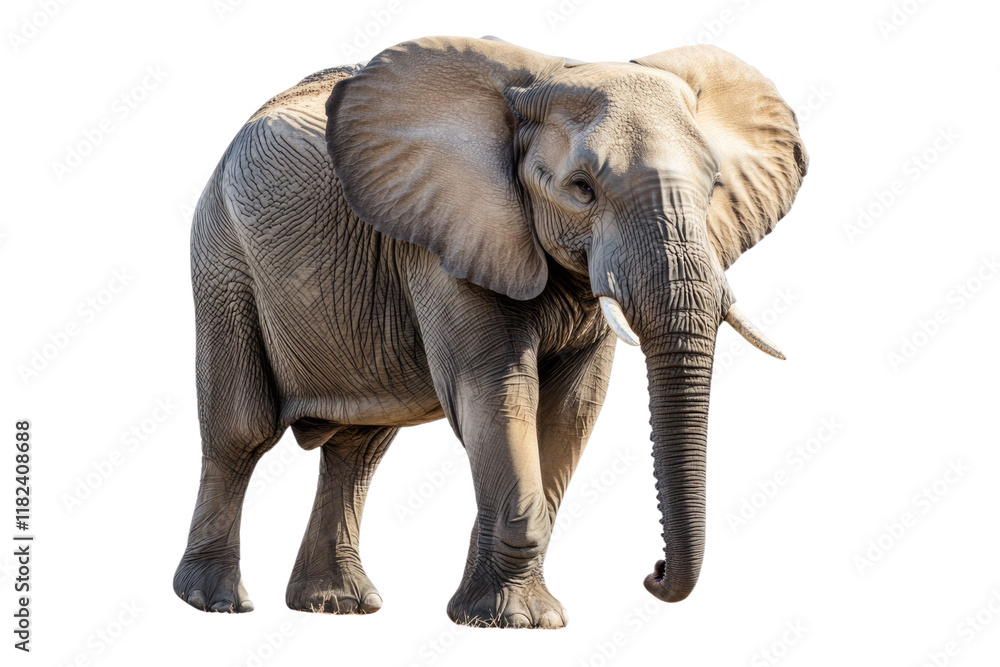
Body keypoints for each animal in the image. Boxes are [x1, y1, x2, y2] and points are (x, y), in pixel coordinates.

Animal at [173, 35, 807, 628]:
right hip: (222, 254)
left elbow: (573, 408)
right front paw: (516, 621)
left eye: (713, 186)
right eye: (582, 188)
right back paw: (215, 602)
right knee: (242, 432)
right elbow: (498, 394)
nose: (653, 574)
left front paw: (505, 615)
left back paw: (337, 606)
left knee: (361, 446)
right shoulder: (444, 236)